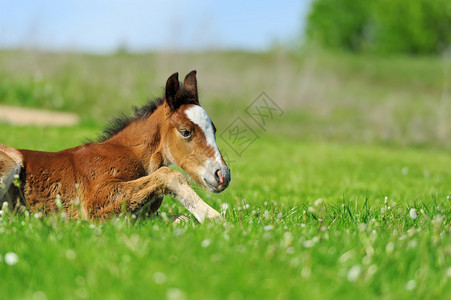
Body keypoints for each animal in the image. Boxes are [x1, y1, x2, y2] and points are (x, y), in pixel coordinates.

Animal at [0, 71, 231, 223]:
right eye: (185, 131)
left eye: (214, 129)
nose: (223, 175)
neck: (132, 154)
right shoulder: (95, 202)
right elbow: (170, 175)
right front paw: (215, 218)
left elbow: (181, 219)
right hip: (11, 163)